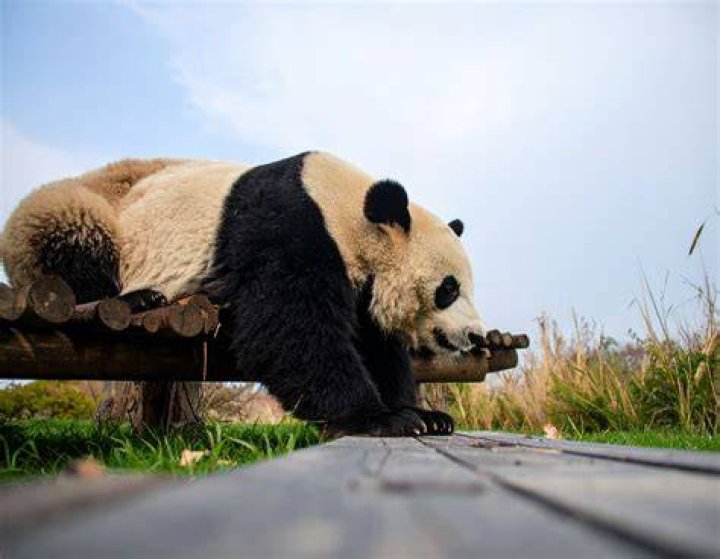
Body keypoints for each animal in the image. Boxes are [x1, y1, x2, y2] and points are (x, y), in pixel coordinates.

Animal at [1, 151, 487, 436]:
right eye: (448, 289)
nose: (476, 336)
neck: (345, 208)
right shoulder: (288, 226)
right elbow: (289, 330)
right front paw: (381, 417)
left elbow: (376, 345)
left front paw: (427, 417)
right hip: (92, 212)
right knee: (74, 239)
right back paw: (136, 298)